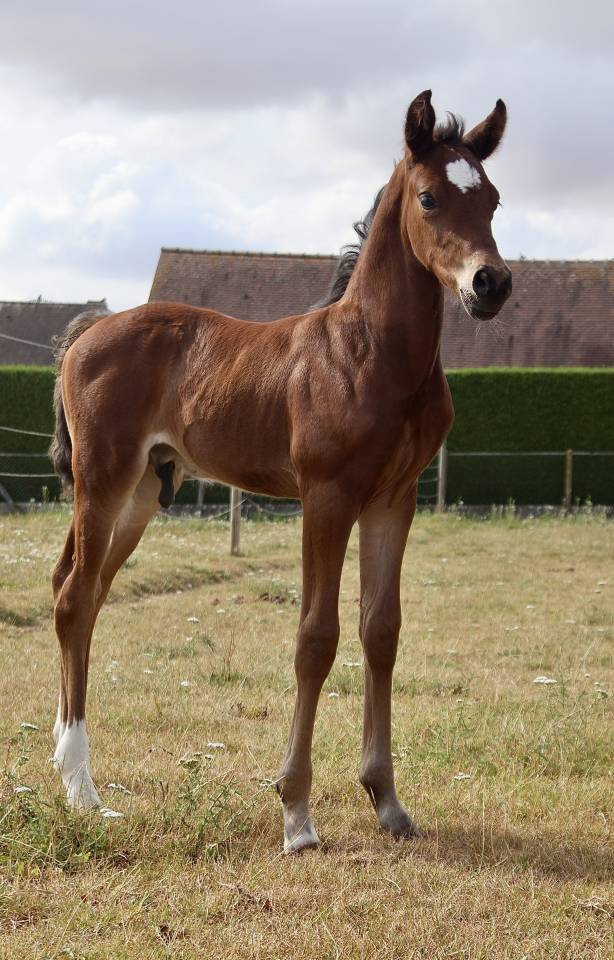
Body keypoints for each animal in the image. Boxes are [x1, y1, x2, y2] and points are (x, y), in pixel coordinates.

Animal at [49, 90, 511, 852]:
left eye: (494, 200)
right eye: (430, 198)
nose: (491, 283)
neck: (372, 352)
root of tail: (87, 332)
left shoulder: (394, 499)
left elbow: (381, 629)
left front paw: (388, 801)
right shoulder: (326, 496)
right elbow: (316, 637)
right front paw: (296, 812)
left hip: (144, 490)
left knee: (78, 593)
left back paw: (64, 770)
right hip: (102, 480)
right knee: (74, 598)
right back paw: (83, 791)